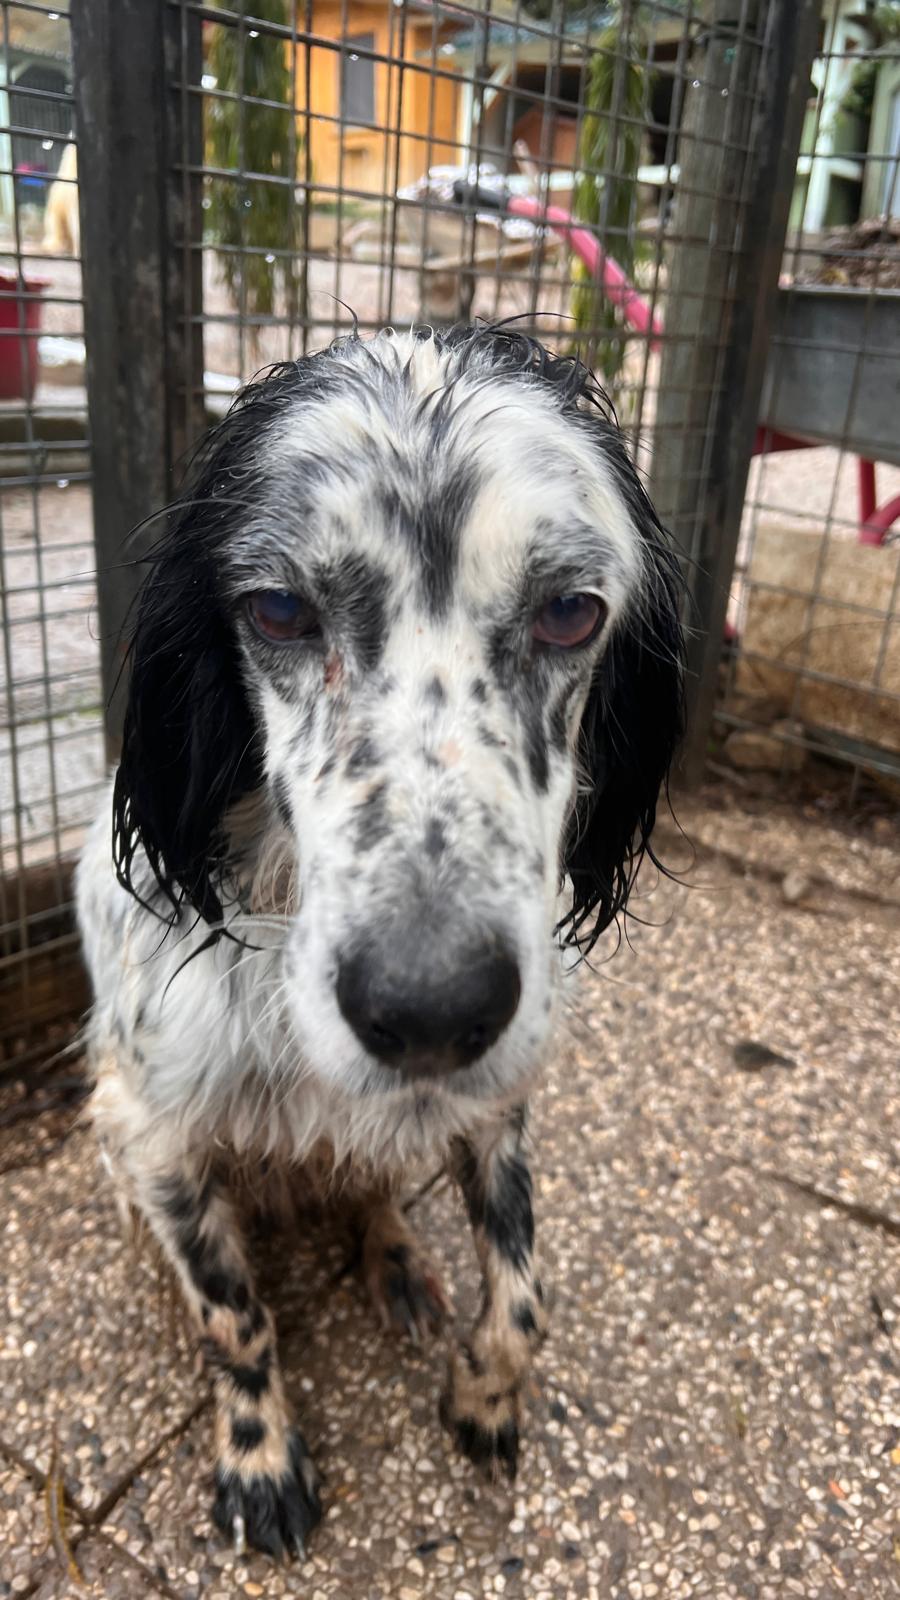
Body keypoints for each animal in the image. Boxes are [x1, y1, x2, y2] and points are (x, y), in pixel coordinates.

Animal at [76, 325, 683, 1561]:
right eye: (277, 612)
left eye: (569, 612)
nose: (432, 1007)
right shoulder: (156, 1133)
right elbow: (235, 1320)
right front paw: (259, 1457)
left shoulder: (497, 1099)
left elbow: (525, 1300)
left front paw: (485, 1399)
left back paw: (396, 1259)